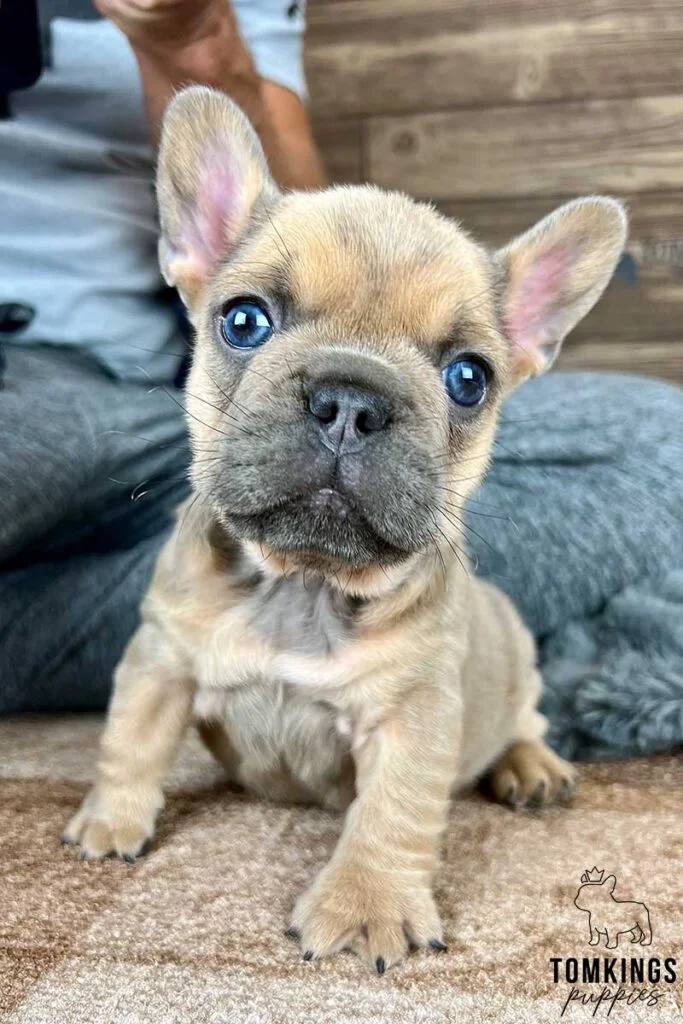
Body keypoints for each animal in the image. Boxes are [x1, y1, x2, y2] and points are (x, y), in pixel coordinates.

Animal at [61, 90, 626, 974]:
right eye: (244, 321)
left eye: (468, 378)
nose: (350, 401)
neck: (302, 582)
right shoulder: (162, 655)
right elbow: (133, 737)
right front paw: (111, 819)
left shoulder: (413, 711)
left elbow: (392, 811)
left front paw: (368, 903)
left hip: (516, 660)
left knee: (523, 722)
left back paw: (531, 766)